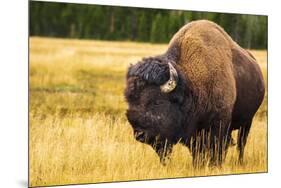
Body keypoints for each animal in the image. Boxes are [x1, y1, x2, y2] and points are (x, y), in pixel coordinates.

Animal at [123, 19, 264, 167]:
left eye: (156, 102)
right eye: (130, 101)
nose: (139, 134)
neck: (191, 85)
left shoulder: (219, 126)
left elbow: (217, 149)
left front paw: (214, 165)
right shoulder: (194, 134)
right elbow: (198, 152)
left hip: (248, 121)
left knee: (241, 144)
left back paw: (239, 162)